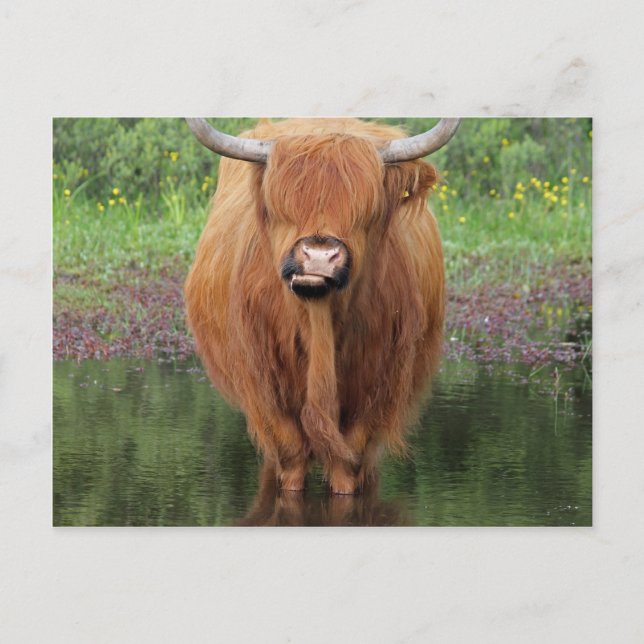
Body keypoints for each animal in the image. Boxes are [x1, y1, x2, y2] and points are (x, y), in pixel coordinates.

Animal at [184, 117, 460, 494]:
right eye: (280, 206)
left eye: (367, 211)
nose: (318, 255)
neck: (319, 322)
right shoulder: (264, 385)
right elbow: (290, 455)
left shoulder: (378, 385)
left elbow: (350, 462)